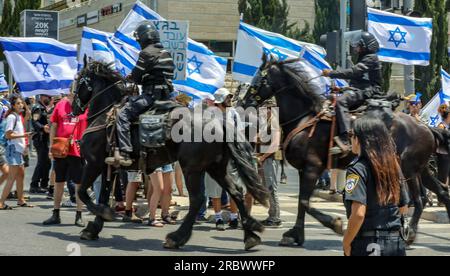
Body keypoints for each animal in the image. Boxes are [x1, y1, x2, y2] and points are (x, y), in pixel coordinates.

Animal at [72, 61, 268, 251]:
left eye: (78, 81)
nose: (74, 109)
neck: (104, 116)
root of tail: (219, 122)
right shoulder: (109, 167)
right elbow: (103, 196)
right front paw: (93, 228)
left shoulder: (94, 163)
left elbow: (83, 192)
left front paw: (103, 214)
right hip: (215, 168)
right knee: (236, 192)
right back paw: (250, 234)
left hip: (192, 169)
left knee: (197, 200)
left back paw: (176, 238)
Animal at [243, 57, 450, 247]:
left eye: (258, 79)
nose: (245, 102)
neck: (305, 118)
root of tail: (425, 127)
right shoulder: (304, 170)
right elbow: (302, 203)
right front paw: (295, 234)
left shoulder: (313, 167)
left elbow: (304, 203)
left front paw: (334, 223)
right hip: (421, 169)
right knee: (442, 192)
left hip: (409, 169)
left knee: (420, 199)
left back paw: (411, 233)